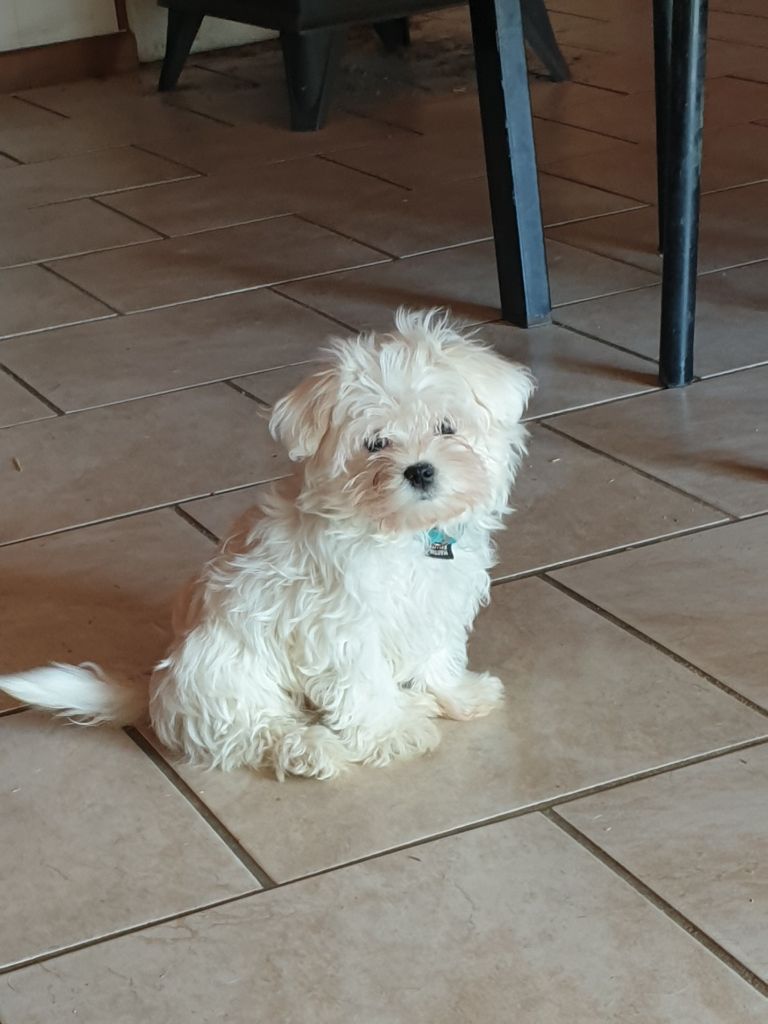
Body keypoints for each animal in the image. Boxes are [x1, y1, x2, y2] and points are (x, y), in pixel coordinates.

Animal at [0, 307, 536, 778]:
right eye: (375, 443)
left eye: (447, 428)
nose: (420, 470)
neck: (403, 532)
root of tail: (158, 687)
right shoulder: (343, 628)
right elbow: (363, 685)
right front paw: (391, 734)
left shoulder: (436, 601)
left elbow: (437, 652)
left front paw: (460, 695)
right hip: (226, 671)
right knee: (256, 730)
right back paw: (313, 748)